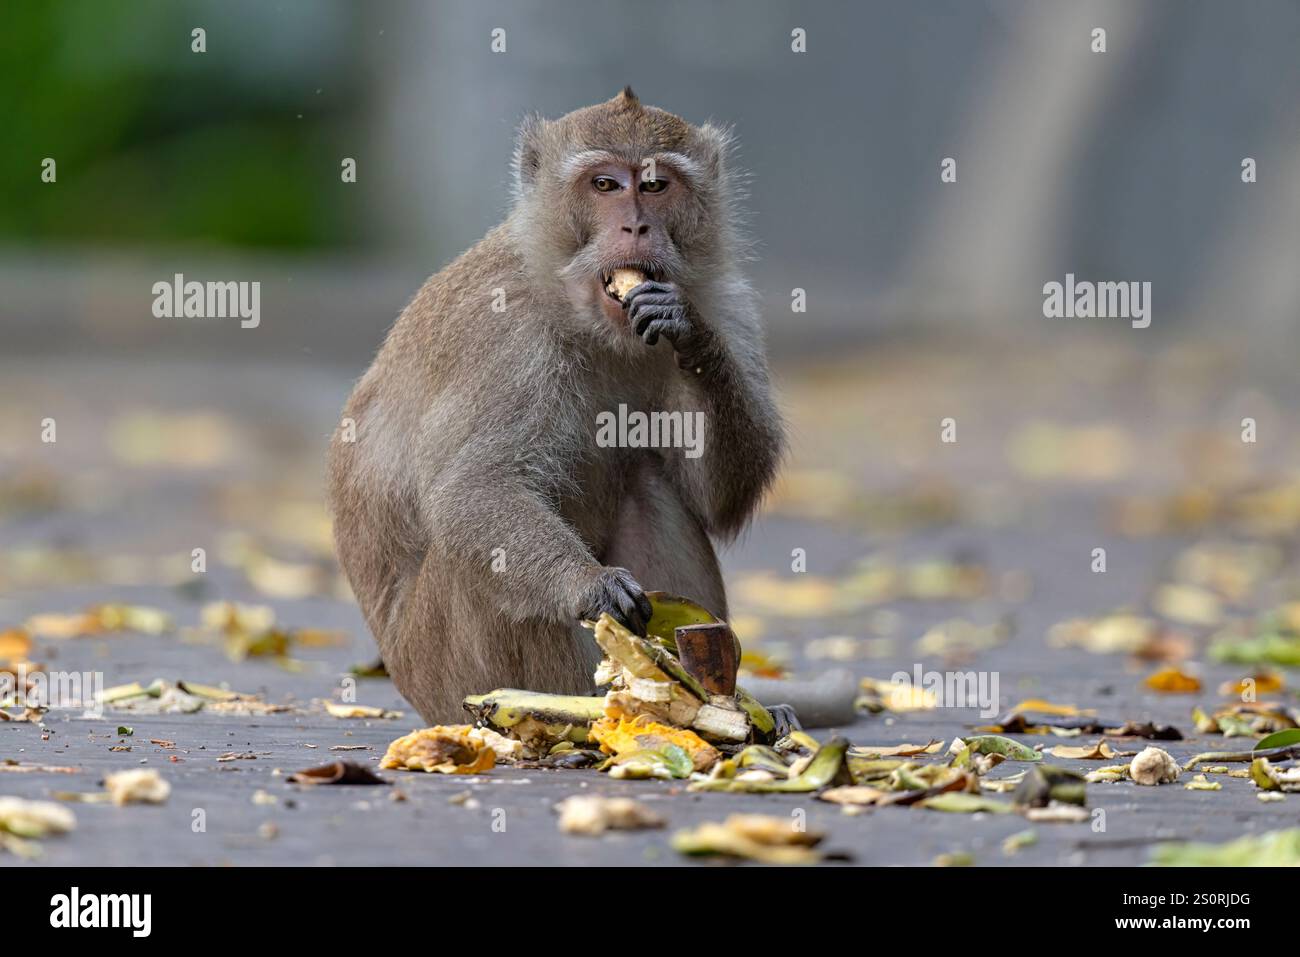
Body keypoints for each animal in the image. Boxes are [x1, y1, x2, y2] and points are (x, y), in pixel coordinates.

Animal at [327, 88, 784, 724]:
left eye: (656, 184)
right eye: (605, 185)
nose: (637, 225)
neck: (580, 310)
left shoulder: (728, 304)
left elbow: (717, 497)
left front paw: (688, 334)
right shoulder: (502, 330)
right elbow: (475, 488)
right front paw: (589, 584)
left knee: (649, 485)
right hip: (443, 670)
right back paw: (583, 708)